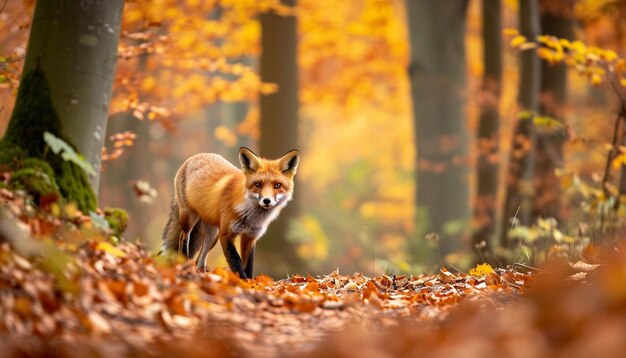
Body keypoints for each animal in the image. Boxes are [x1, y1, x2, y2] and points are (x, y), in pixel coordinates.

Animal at [160, 147, 298, 278]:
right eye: (258, 184)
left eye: (277, 185)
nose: (267, 201)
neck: (250, 215)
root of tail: (195, 156)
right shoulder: (226, 234)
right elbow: (236, 262)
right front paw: (243, 281)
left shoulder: (250, 236)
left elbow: (248, 265)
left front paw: (250, 282)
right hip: (190, 218)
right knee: (183, 236)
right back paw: (184, 263)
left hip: (213, 234)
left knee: (200, 258)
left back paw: (201, 272)